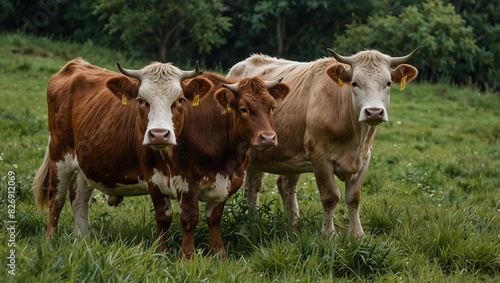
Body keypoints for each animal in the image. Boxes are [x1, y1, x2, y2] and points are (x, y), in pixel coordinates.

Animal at [30, 58, 211, 253]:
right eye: (141, 100)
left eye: (180, 99)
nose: (159, 134)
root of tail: (75, 64)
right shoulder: (153, 177)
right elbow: (165, 215)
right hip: (59, 156)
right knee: (56, 199)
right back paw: (50, 242)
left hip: (84, 164)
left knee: (78, 197)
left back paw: (83, 239)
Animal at [170, 71, 290, 260]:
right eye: (243, 109)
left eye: (272, 107)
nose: (268, 137)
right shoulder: (183, 176)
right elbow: (189, 218)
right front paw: (187, 257)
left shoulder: (229, 180)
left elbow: (214, 218)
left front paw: (219, 255)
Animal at [228, 46, 422, 240]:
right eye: (354, 83)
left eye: (388, 83)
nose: (374, 112)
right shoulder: (320, 157)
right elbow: (330, 197)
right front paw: (328, 234)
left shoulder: (365, 157)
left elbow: (354, 197)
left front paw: (357, 234)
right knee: (251, 187)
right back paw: (253, 222)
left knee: (273, 186)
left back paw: (287, 224)